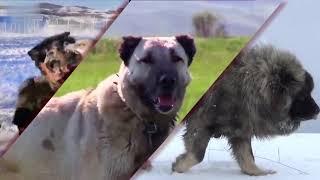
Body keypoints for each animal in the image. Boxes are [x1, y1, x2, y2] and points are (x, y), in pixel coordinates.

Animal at [174, 45, 318, 176]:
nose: (318, 110)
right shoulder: (201, 123)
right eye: (302, 96)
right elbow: (197, 154)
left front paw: (258, 172)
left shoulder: (240, 128)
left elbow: (247, 157)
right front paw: (178, 166)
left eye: (309, 93)